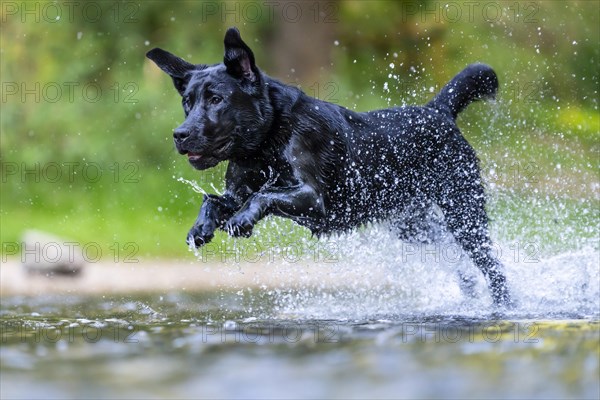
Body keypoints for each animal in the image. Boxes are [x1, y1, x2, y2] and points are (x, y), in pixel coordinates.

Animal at [146, 26, 510, 306]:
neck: (268, 142)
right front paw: (202, 227)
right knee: (456, 260)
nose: (180, 134)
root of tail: (438, 110)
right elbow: (214, 200)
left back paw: (504, 305)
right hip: (411, 223)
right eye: (187, 102)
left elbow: (264, 196)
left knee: (492, 266)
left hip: (464, 213)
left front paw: (242, 221)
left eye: (216, 100)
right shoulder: (237, 191)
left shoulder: (313, 198)